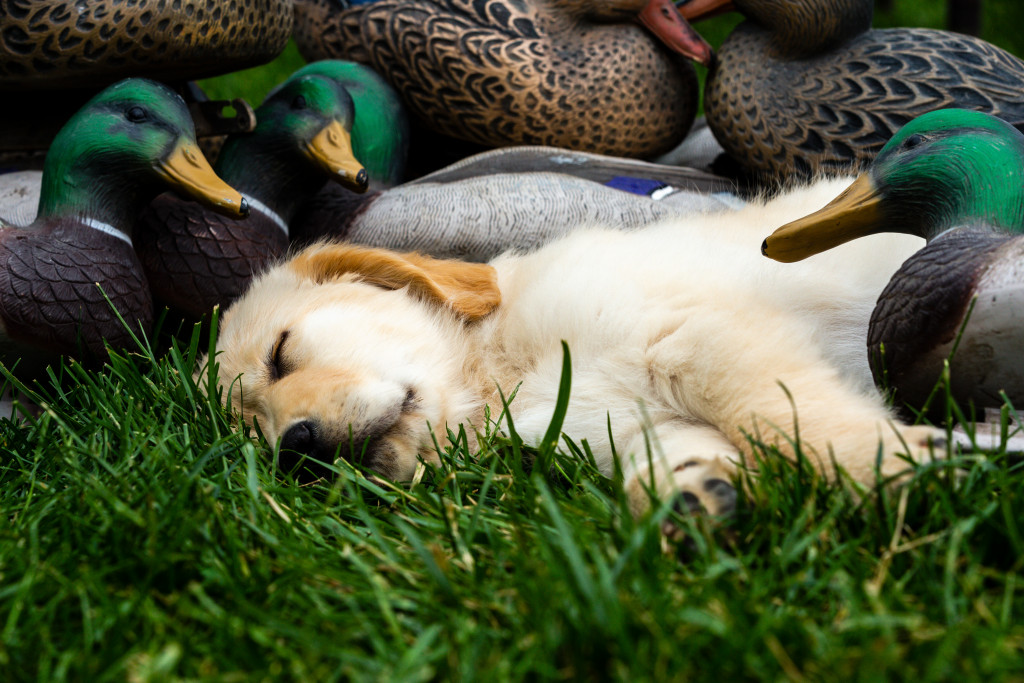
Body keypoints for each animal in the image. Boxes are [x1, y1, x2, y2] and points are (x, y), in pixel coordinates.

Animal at [207, 179, 942, 520]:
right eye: (256, 435)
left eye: (280, 353)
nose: (298, 450)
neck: (500, 376)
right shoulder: (615, 419)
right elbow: (671, 443)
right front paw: (691, 491)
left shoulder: (695, 335)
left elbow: (787, 413)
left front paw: (893, 469)